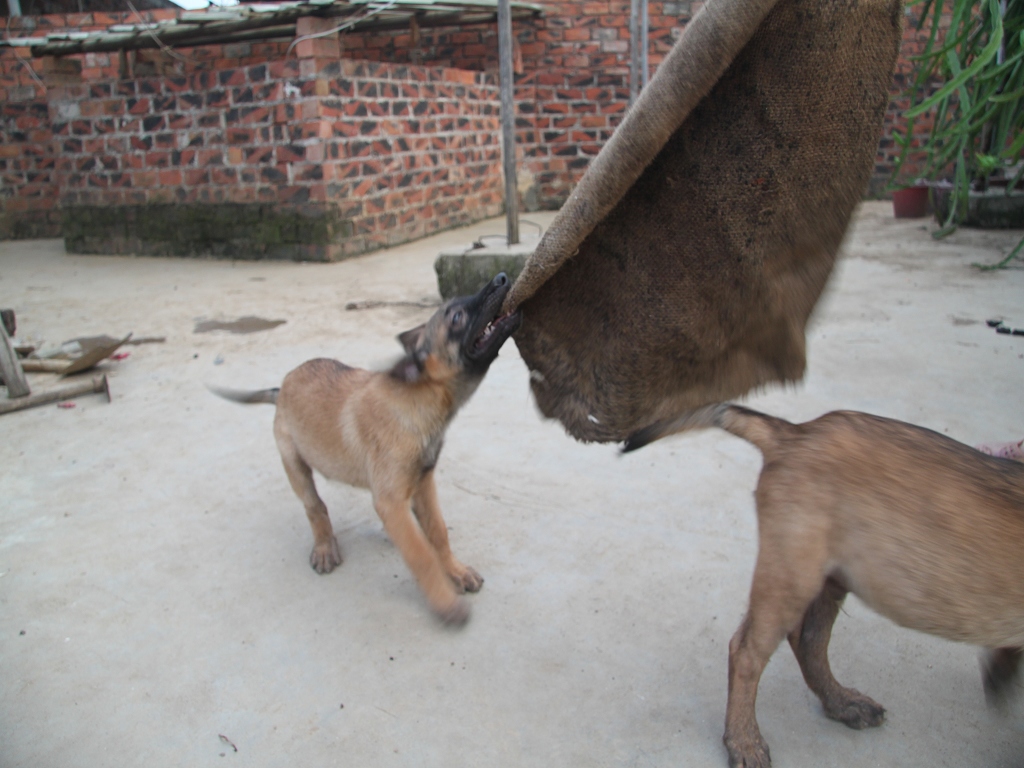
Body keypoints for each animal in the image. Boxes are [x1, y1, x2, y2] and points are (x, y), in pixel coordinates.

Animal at [214, 274, 520, 626]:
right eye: (456, 317)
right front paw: (444, 601)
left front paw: (455, 570)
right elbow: (420, 555)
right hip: (294, 463)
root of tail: (282, 387)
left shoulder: (423, 482)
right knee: (314, 506)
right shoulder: (390, 498)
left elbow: (438, 533)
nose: (502, 278)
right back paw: (324, 547)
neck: (418, 398)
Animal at [622, 405, 1024, 768]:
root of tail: (794, 434)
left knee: (808, 640)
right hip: (792, 572)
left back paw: (842, 703)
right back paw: (744, 741)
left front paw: (999, 672)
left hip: (829, 574)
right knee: (747, 651)